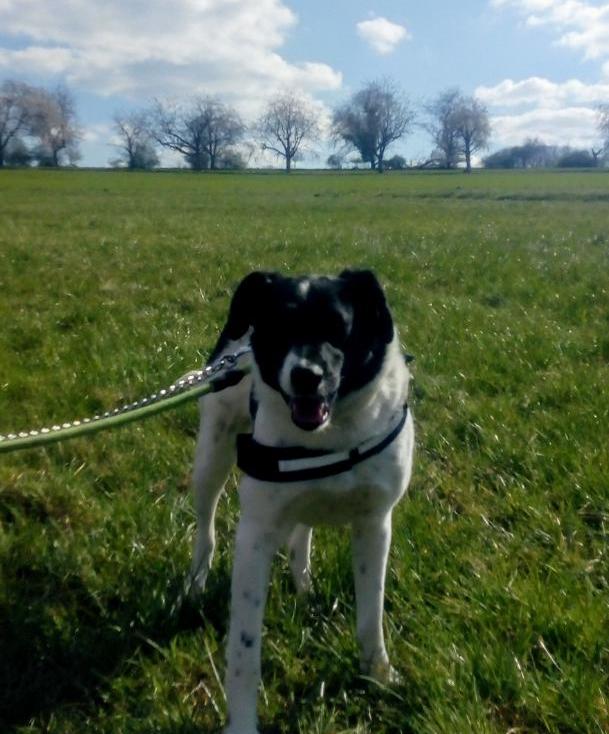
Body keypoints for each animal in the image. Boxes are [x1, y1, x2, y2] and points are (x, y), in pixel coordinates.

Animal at [189, 269, 414, 734]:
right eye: (277, 327)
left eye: (339, 327)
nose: (306, 375)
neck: (329, 438)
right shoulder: (255, 536)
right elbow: (244, 652)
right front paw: (242, 724)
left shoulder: (375, 524)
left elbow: (370, 614)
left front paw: (377, 674)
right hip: (211, 457)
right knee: (207, 527)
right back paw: (196, 583)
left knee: (301, 532)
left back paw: (304, 585)